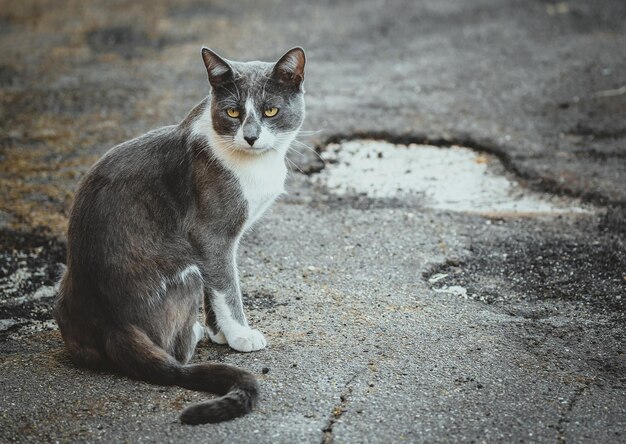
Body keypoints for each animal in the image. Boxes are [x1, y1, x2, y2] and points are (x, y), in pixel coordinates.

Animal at [53, 46, 304, 424]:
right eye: (233, 111)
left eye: (270, 110)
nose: (251, 136)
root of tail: (114, 323)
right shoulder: (210, 235)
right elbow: (227, 286)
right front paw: (240, 335)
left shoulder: (210, 248)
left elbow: (216, 289)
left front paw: (220, 333)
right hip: (183, 269)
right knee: (176, 351)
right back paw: (193, 334)